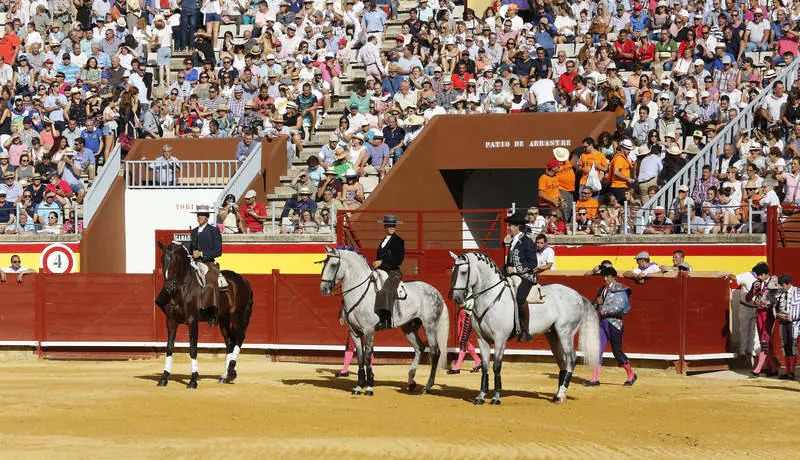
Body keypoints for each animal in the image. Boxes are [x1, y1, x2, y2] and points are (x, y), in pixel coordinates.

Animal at [155, 241, 253, 388]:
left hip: (237, 316)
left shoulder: (192, 320)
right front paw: (164, 378)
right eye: (162, 260)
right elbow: (169, 347)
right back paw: (225, 376)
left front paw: (193, 380)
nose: (168, 287)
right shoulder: (171, 320)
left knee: (240, 338)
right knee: (230, 342)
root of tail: (244, 281)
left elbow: (193, 348)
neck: (182, 288)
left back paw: (231, 371)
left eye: (175, 261)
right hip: (223, 319)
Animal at [318, 248, 450, 396]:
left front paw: (369, 388)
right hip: (409, 328)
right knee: (419, 348)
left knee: (435, 351)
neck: (359, 291)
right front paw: (359, 386)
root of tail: (436, 292)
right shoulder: (355, 333)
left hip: (430, 326)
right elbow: (359, 358)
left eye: (334, 265)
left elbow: (367, 356)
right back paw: (411, 382)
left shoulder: (369, 330)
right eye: (324, 263)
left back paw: (427, 386)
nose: (323, 289)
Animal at [450, 250, 600, 404]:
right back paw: (556, 395)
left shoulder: (500, 339)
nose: (456, 297)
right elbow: (485, 367)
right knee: (562, 361)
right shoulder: (482, 339)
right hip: (553, 335)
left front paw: (496, 397)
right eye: (453, 270)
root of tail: (578, 295)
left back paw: (562, 393)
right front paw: (480, 396)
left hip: (566, 332)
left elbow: (496, 366)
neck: (491, 297)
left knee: (571, 359)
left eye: (463, 272)